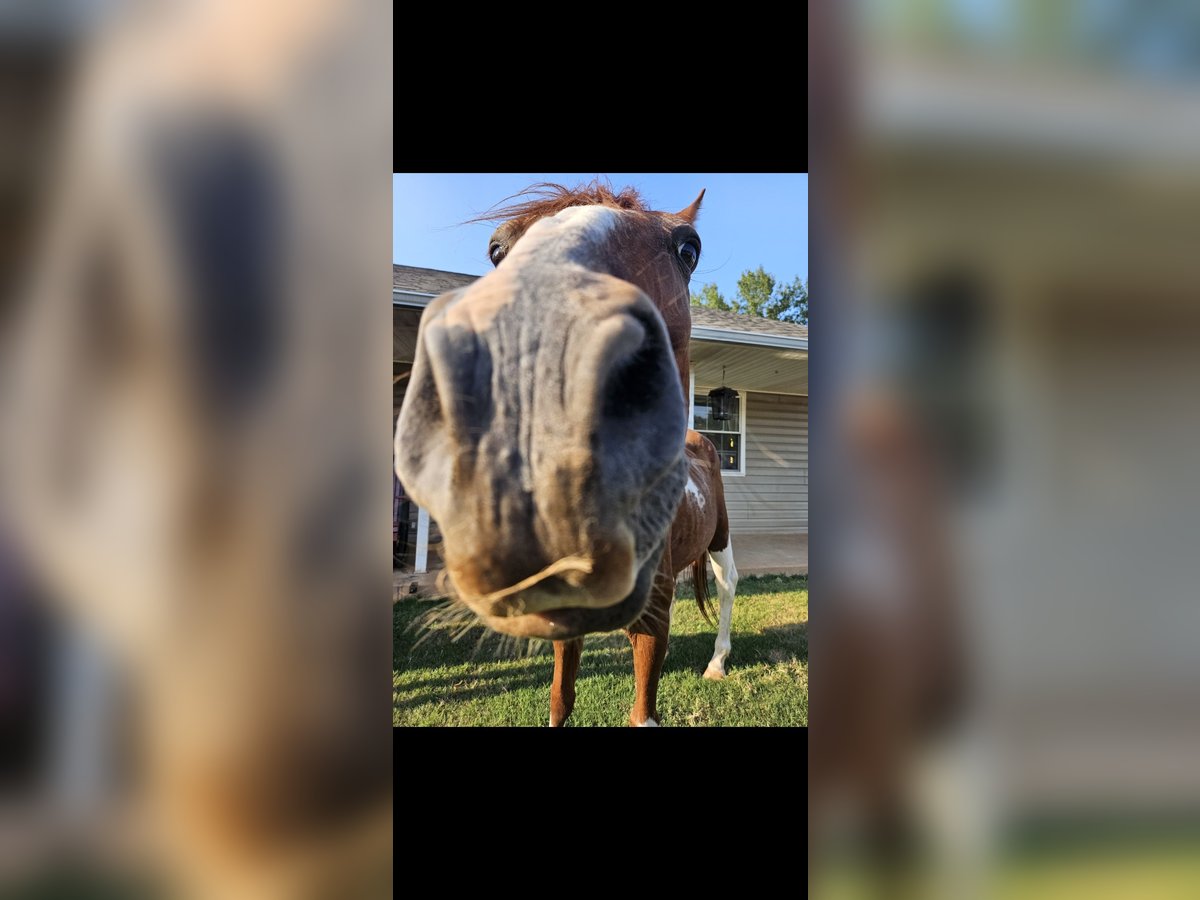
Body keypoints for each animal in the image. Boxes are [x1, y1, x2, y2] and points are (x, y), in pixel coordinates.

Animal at [395, 181, 739, 727]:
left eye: (689, 248)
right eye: (496, 250)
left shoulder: (654, 618)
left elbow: (642, 709)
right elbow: (560, 698)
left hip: (721, 538)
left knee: (728, 587)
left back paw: (718, 662)